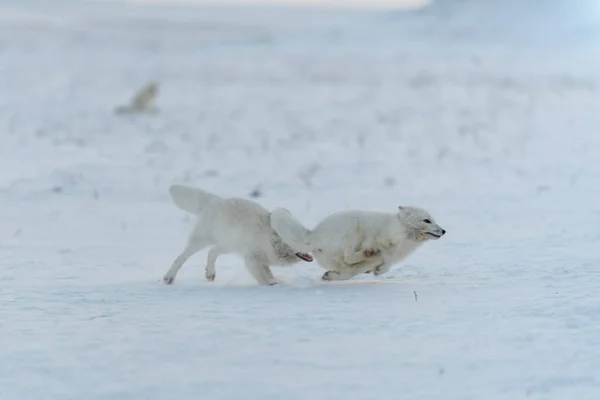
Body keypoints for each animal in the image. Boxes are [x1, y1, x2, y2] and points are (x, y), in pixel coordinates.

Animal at [163, 186, 314, 286]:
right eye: (296, 240)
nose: (312, 245)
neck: (271, 241)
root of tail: (215, 200)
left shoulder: (261, 261)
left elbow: (268, 273)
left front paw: (275, 280)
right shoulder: (251, 260)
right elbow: (263, 279)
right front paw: (272, 285)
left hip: (228, 245)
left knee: (212, 251)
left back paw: (210, 273)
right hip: (200, 241)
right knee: (181, 257)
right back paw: (169, 277)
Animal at [270, 206, 442, 282]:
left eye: (434, 220)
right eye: (427, 221)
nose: (444, 231)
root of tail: (313, 234)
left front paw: (377, 270)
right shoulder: (377, 239)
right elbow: (385, 254)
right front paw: (379, 268)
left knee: (347, 266)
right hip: (351, 232)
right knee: (349, 257)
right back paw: (367, 252)